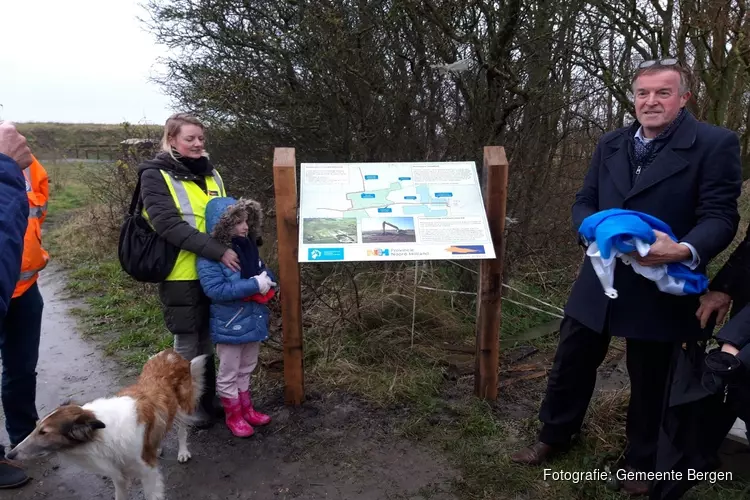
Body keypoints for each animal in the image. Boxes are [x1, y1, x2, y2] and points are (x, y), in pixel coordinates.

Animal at [8, 350, 209, 498]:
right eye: (36, 427)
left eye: (44, 432)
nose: (10, 455)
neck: (102, 432)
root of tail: (170, 352)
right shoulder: (118, 476)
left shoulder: (148, 473)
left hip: (182, 407)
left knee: (182, 429)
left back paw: (183, 452)